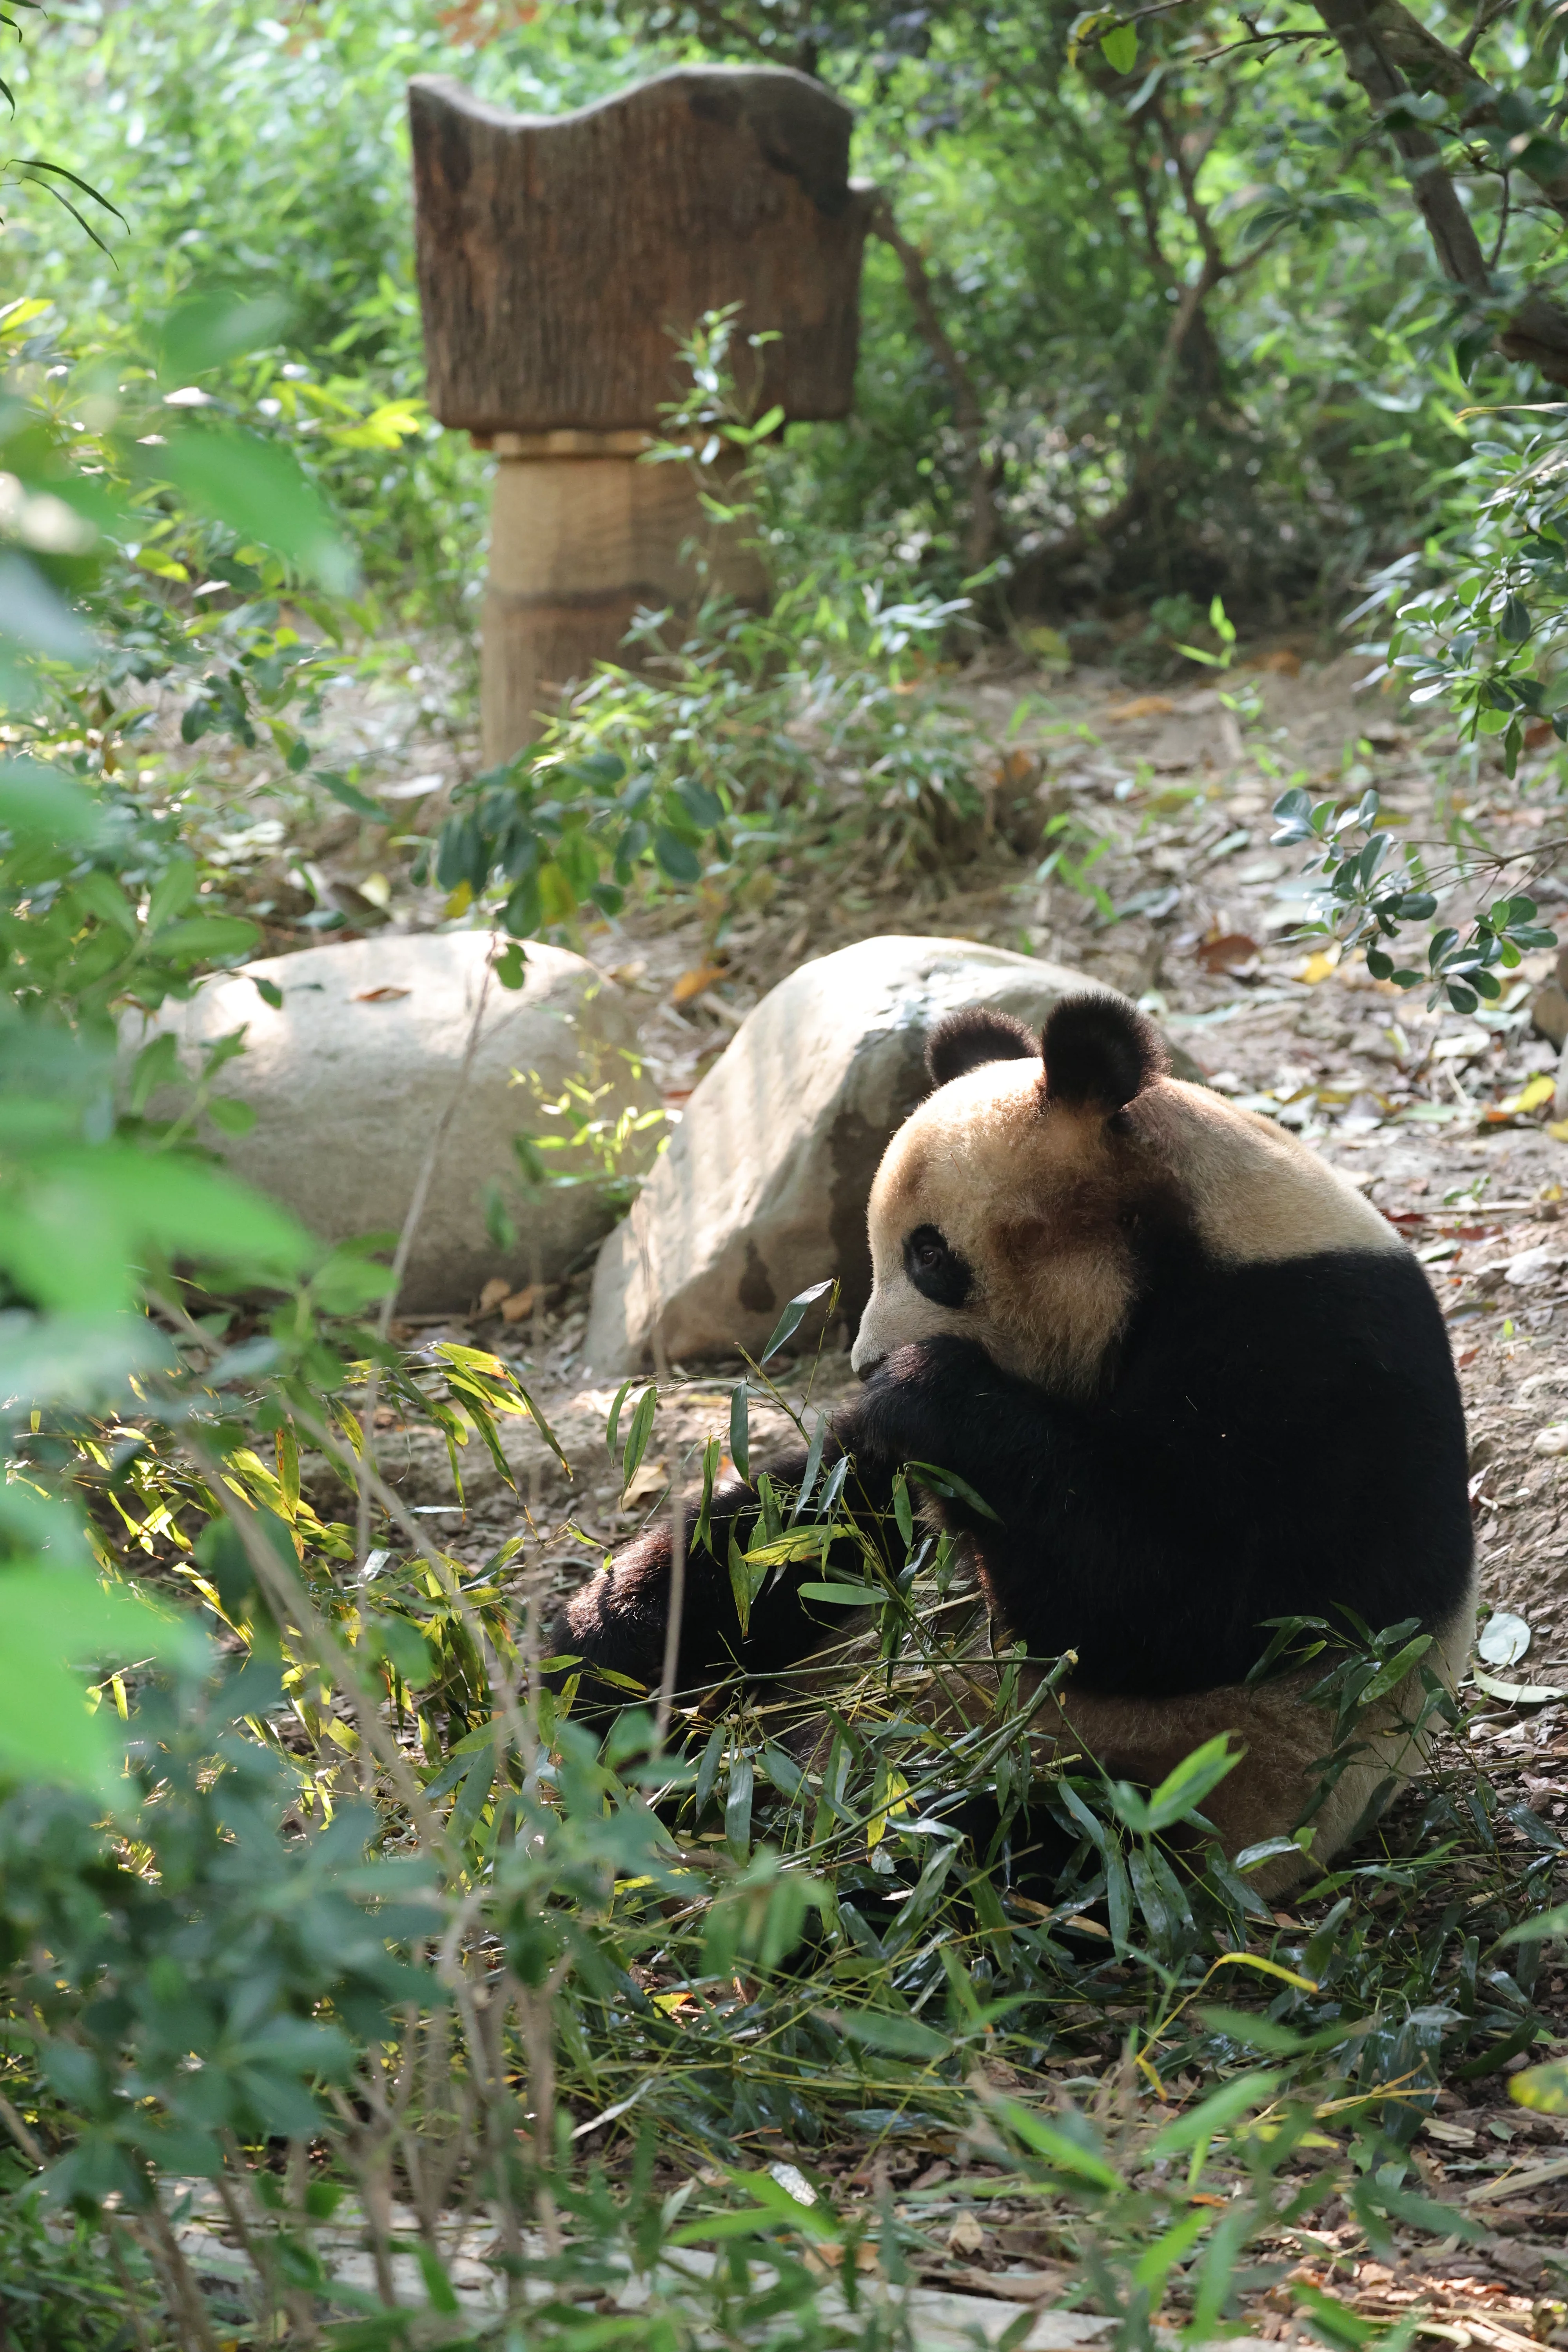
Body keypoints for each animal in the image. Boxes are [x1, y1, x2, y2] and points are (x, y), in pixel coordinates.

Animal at [559, 991, 1476, 1897]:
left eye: (929, 1255)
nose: (865, 1364)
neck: (1176, 1239)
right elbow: (810, 1519)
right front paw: (603, 1632)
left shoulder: (1322, 1361)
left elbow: (1192, 1600)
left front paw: (928, 1388)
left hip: (1169, 1782)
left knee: (991, 1840)